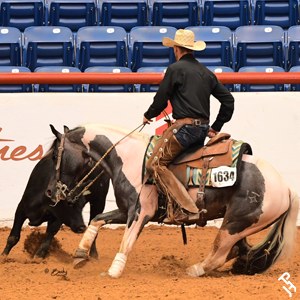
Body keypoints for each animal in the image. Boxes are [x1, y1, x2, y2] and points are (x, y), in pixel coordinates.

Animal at [45, 123, 298, 278]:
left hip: (235, 224)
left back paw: (193, 270)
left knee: (219, 254)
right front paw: (80, 255)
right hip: (240, 225)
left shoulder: (141, 211)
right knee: (239, 250)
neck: (129, 157)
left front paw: (112, 273)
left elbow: (126, 242)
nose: (49, 192)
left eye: (55, 155)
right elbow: (97, 219)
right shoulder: (125, 210)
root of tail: (286, 188)